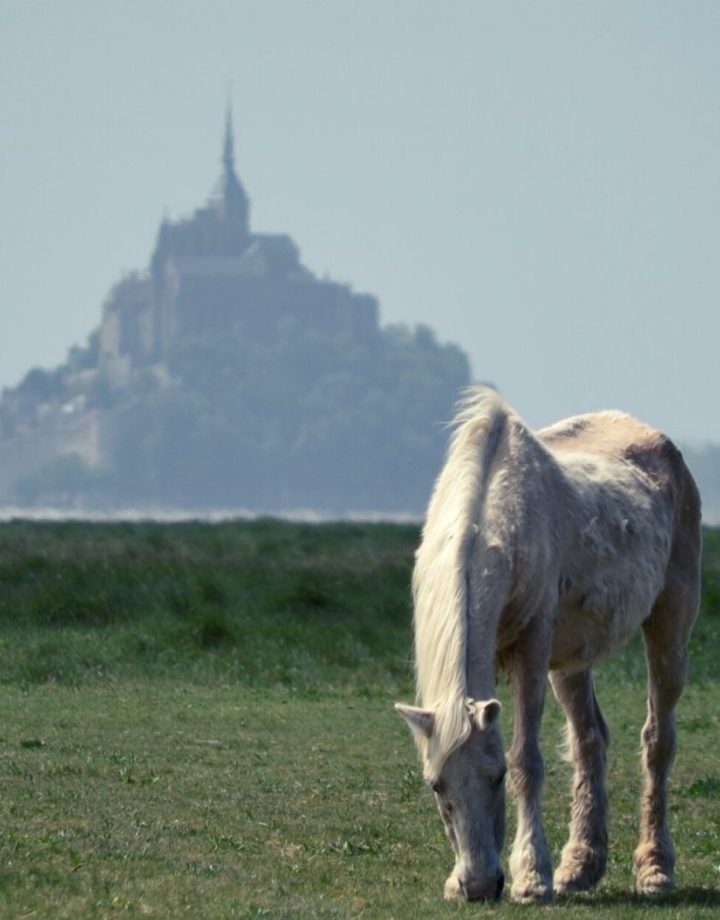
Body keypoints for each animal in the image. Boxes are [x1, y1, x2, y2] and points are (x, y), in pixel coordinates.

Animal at [396, 384, 700, 904]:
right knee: (589, 741)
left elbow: (528, 760)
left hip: (670, 627)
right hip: (572, 662)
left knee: (658, 741)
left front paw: (532, 879)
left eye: (495, 776)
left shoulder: (533, 649)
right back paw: (580, 866)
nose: (478, 886)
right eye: (436, 786)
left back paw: (656, 870)